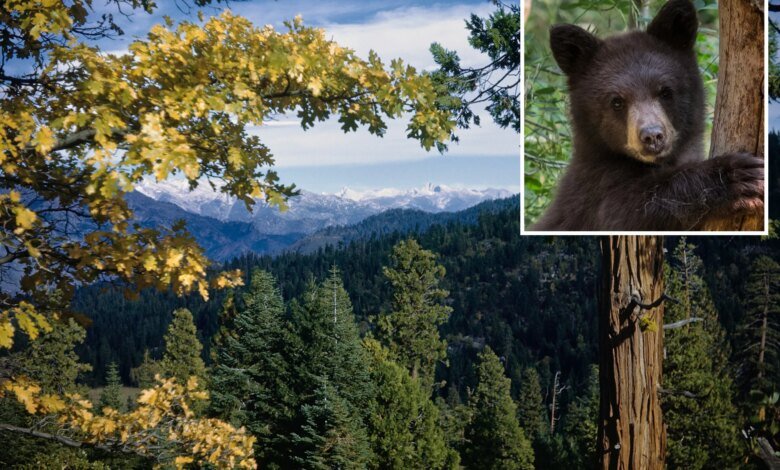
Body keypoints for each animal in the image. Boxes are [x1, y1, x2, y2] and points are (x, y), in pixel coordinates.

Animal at [530, 0, 764, 231]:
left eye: (665, 91)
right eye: (616, 101)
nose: (652, 136)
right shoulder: (595, 194)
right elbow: (627, 211)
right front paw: (737, 177)